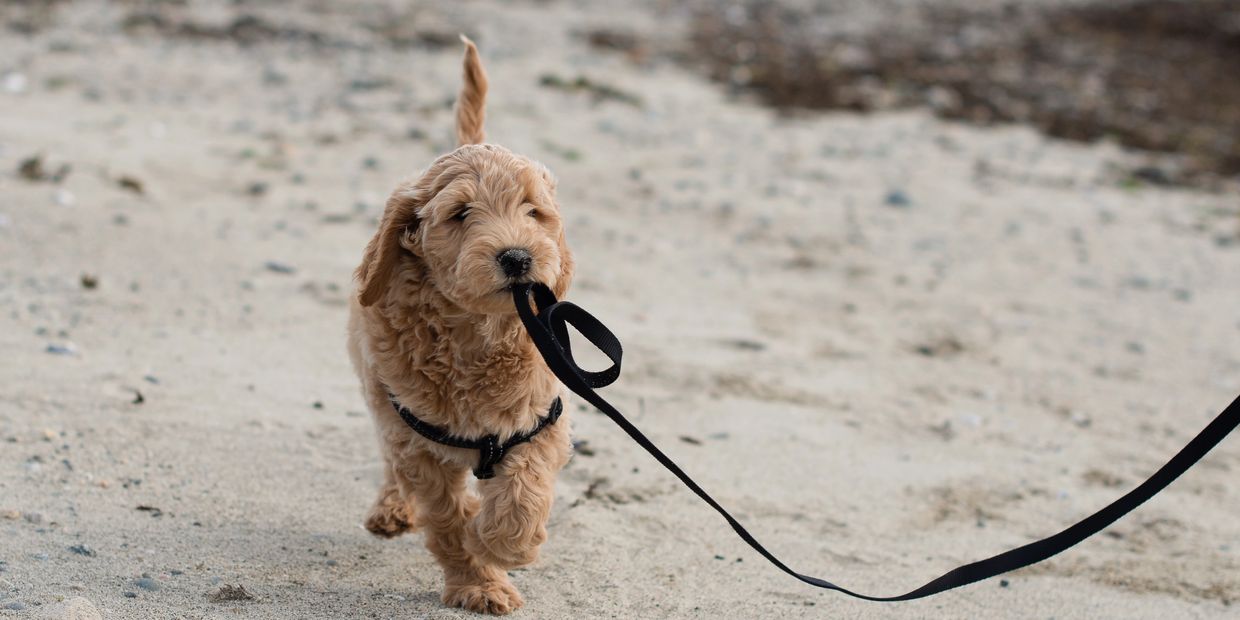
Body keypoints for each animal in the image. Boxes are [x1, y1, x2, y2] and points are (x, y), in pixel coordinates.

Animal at [349, 38, 575, 615]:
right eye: (460, 213)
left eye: (532, 211)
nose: (517, 257)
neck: (476, 333)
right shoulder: (417, 441)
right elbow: (446, 518)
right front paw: (478, 581)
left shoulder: (539, 423)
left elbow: (524, 495)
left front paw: (500, 544)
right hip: (379, 397)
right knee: (389, 459)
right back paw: (392, 509)